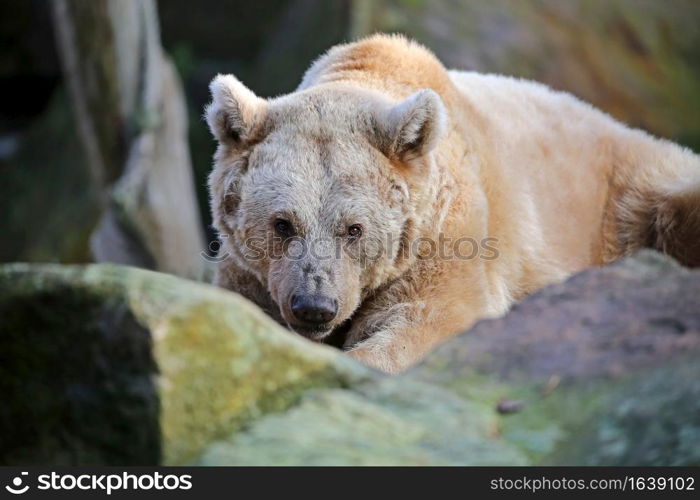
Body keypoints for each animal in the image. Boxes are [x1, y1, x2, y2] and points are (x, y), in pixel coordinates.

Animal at [205, 34, 700, 372]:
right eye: (283, 223)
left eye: (354, 228)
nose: (314, 306)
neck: (368, 72)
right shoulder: (247, 271)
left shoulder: (445, 231)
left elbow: (433, 317)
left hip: (633, 194)